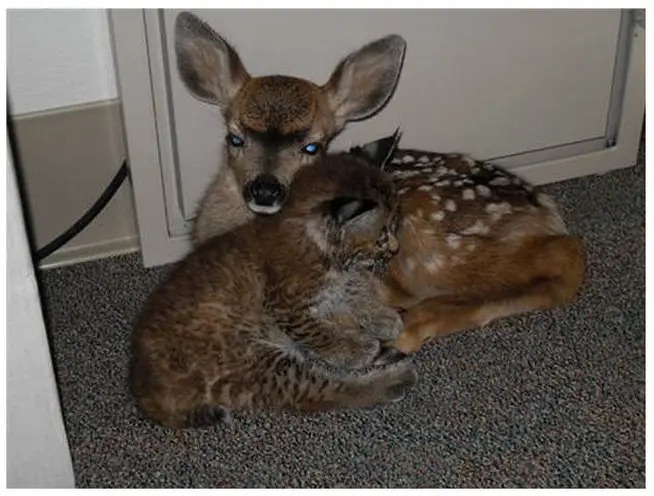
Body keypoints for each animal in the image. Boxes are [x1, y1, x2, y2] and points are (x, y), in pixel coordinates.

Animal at [129, 153, 418, 428]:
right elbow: (318, 332)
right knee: (320, 392)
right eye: (382, 236)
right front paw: (353, 348)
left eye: (395, 227)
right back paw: (394, 378)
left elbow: (349, 290)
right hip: (253, 358)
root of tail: (143, 382)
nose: (395, 250)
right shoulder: (285, 305)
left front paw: (382, 317)